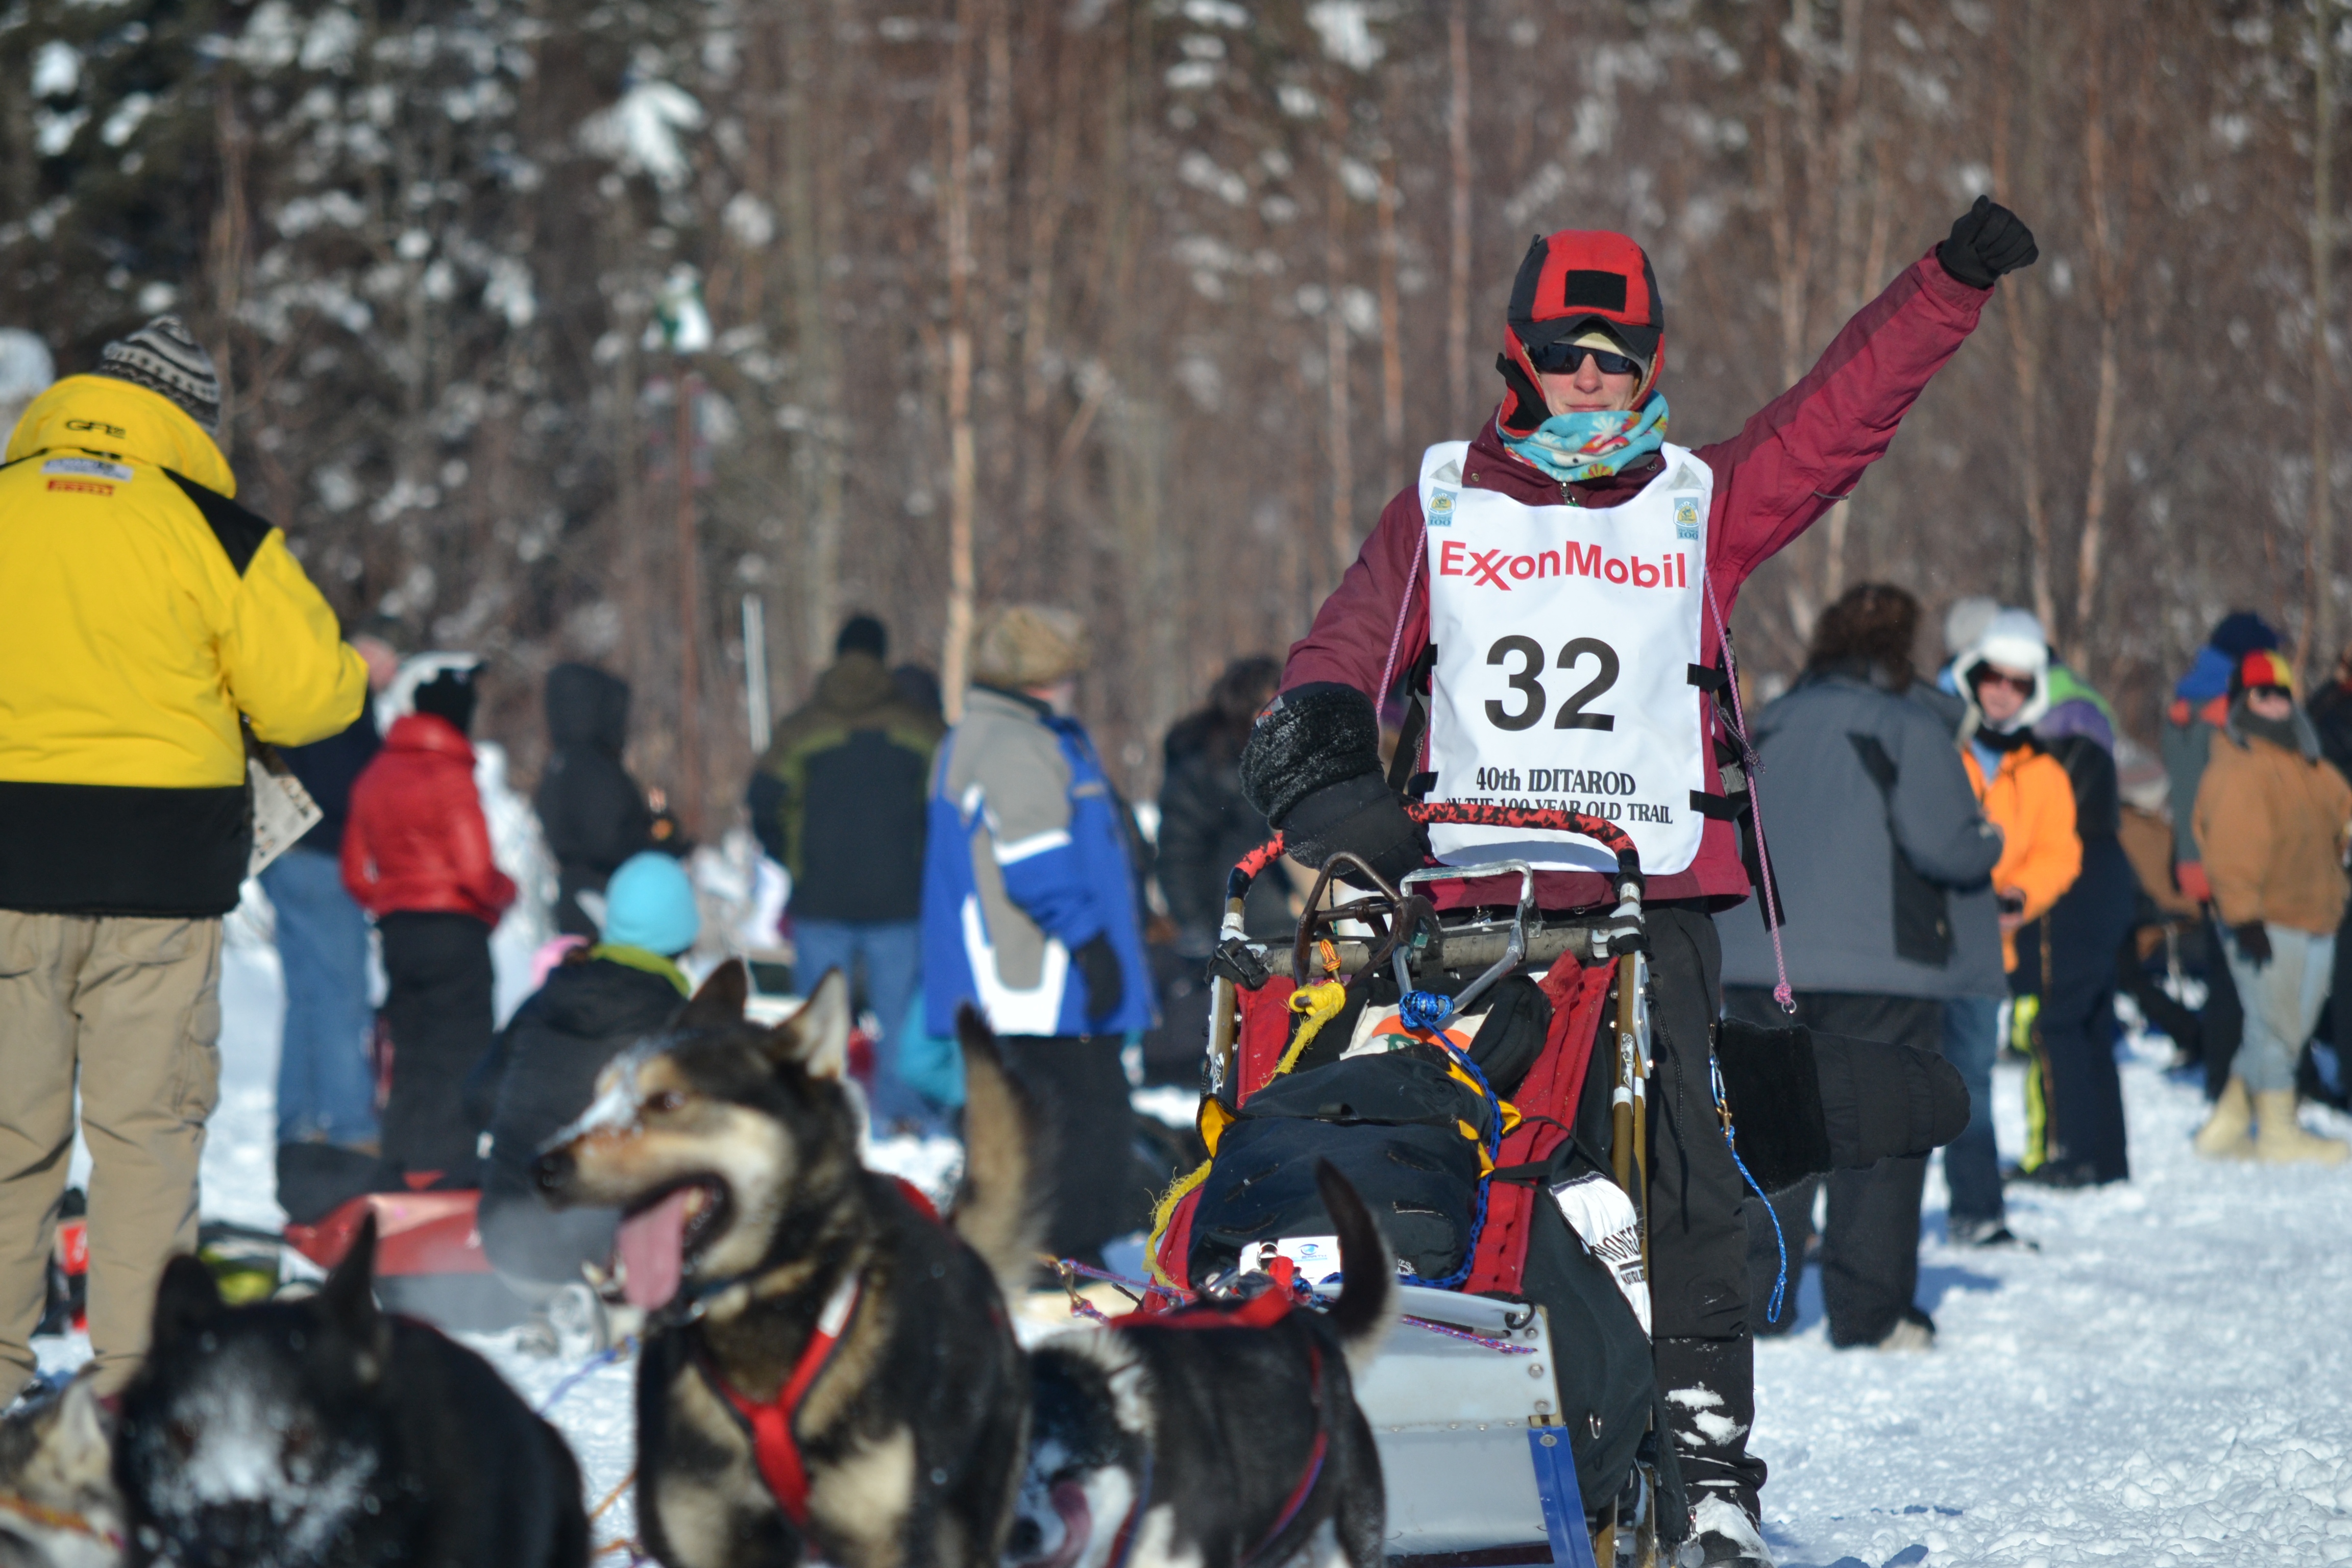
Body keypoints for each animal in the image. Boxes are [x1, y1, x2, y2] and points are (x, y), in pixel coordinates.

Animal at [546, 964, 1044, 1568]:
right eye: (596, 1098)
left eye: (668, 1100)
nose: (543, 1166)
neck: (758, 1309)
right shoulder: (704, 1537)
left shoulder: (882, 1540)